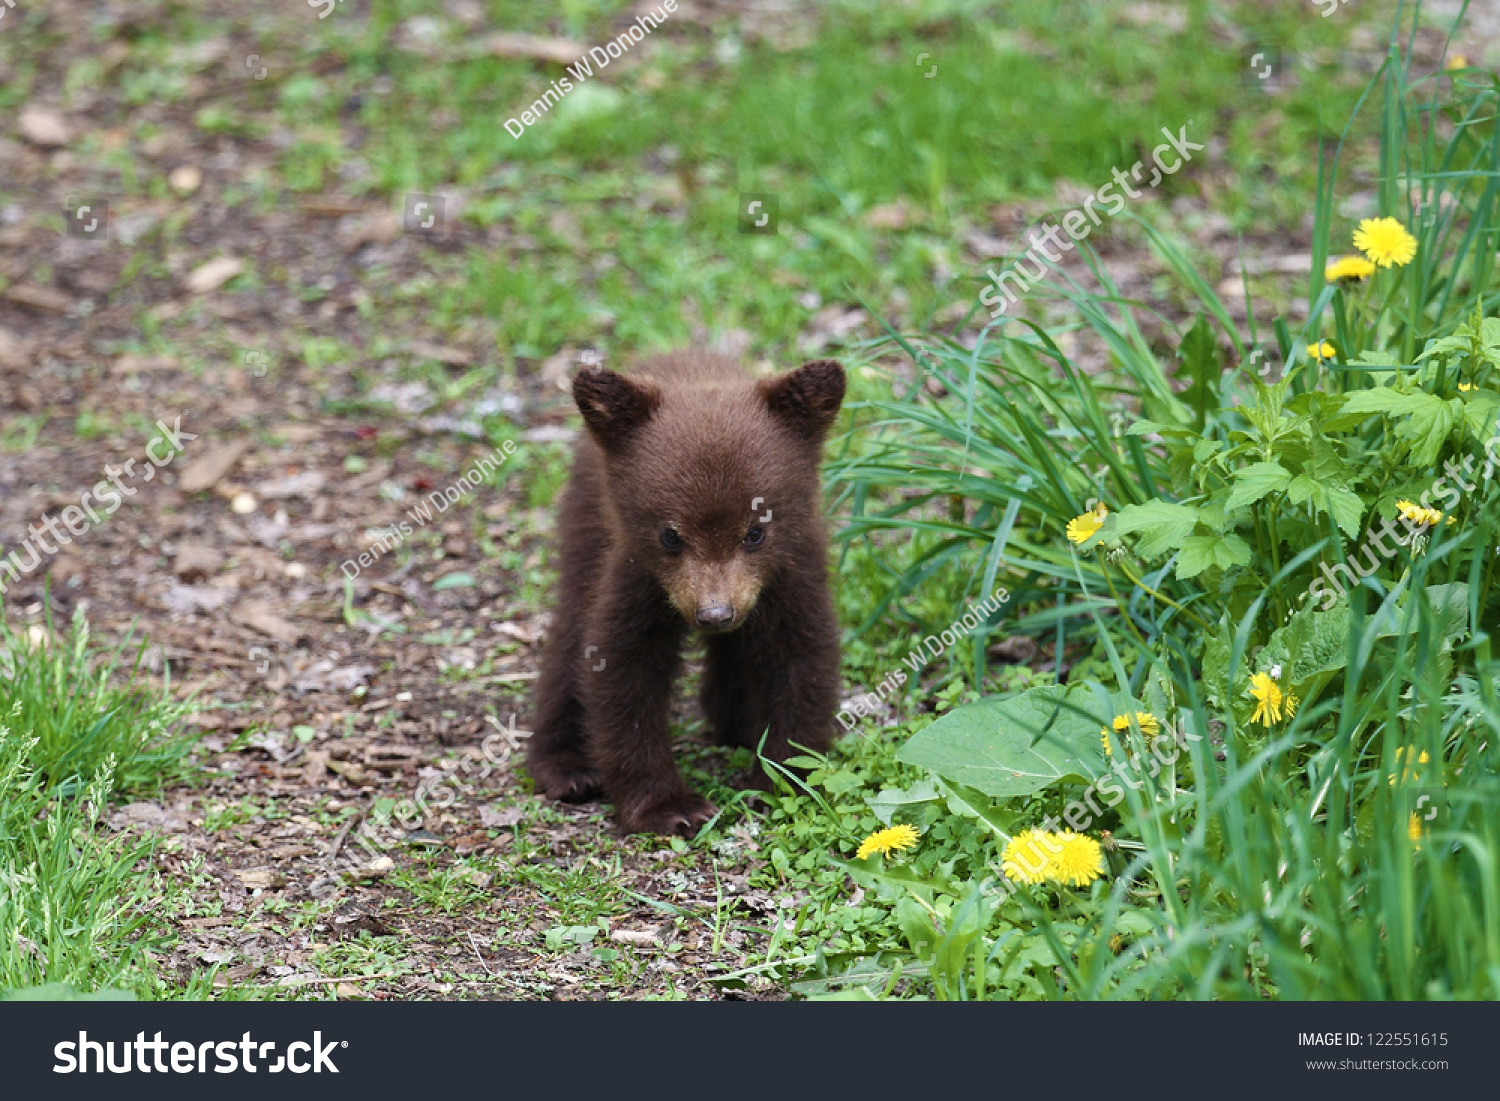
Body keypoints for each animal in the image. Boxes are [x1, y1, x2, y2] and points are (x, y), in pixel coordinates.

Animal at [527, 351, 845, 837]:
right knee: (570, 630)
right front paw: (670, 807)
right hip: (585, 526)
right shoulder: (635, 572)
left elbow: (800, 659)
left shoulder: (791, 573)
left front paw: (782, 781)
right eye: (670, 535)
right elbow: (620, 668)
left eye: (755, 532)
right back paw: (567, 768)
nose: (715, 614)